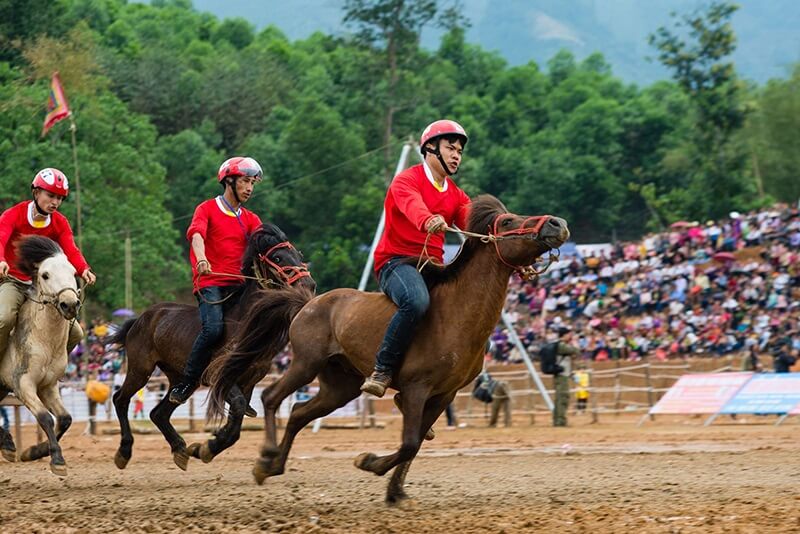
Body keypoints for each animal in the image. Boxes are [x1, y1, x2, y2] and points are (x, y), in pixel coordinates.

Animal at [0, 237, 80, 476]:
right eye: (45, 275)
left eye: (74, 272)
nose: (69, 304)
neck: (44, 341)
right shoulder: (23, 383)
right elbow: (45, 417)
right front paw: (57, 460)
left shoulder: (48, 385)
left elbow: (64, 418)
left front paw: (35, 452)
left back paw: (8, 445)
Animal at [108, 223, 314, 474]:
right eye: (277, 257)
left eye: (299, 255)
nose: (308, 285)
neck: (244, 323)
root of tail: (140, 319)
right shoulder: (220, 376)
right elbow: (236, 410)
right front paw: (208, 447)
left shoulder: (248, 381)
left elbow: (237, 421)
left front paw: (206, 447)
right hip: (141, 369)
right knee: (120, 399)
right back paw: (124, 451)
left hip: (181, 379)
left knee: (159, 413)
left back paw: (180, 449)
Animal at [206, 196, 568, 502]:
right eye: (507, 221)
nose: (557, 223)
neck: (455, 315)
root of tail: (307, 303)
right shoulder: (416, 388)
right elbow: (408, 443)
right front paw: (369, 463)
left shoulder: (444, 394)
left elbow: (416, 442)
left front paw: (395, 490)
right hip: (305, 364)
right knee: (271, 398)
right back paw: (266, 456)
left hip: (341, 386)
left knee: (297, 413)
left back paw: (271, 466)